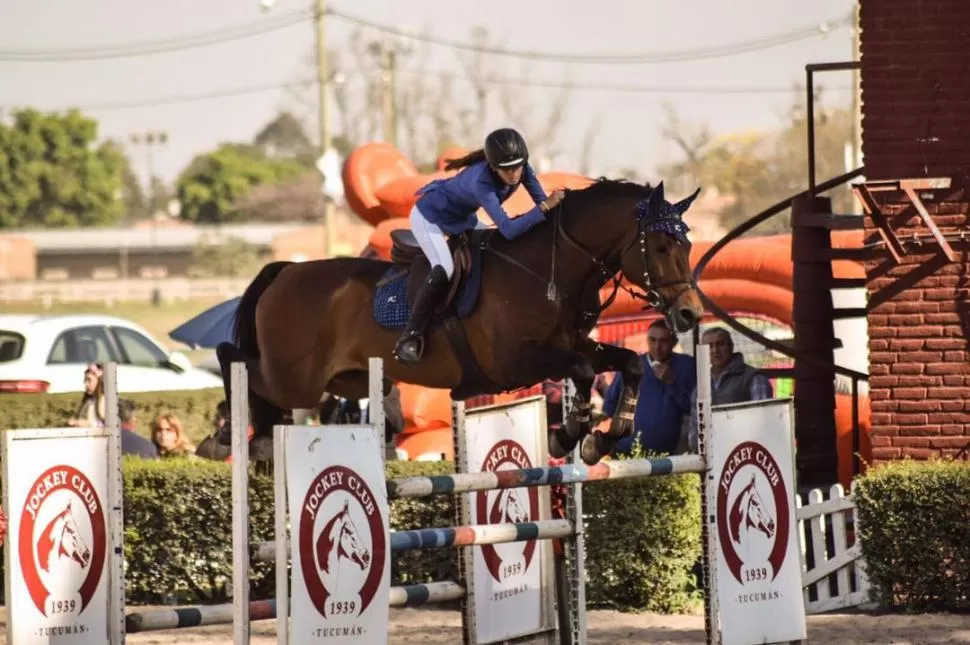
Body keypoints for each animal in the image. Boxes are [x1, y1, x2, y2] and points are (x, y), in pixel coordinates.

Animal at [217, 180, 704, 462]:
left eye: (686, 244)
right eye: (662, 246)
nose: (690, 313)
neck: (547, 268)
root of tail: (286, 271)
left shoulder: (574, 345)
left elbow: (629, 364)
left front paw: (599, 435)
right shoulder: (515, 362)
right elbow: (583, 371)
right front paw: (570, 434)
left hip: (345, 382)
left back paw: (258, 439)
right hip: (295, 378)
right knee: (234, 359)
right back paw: (238, 437)